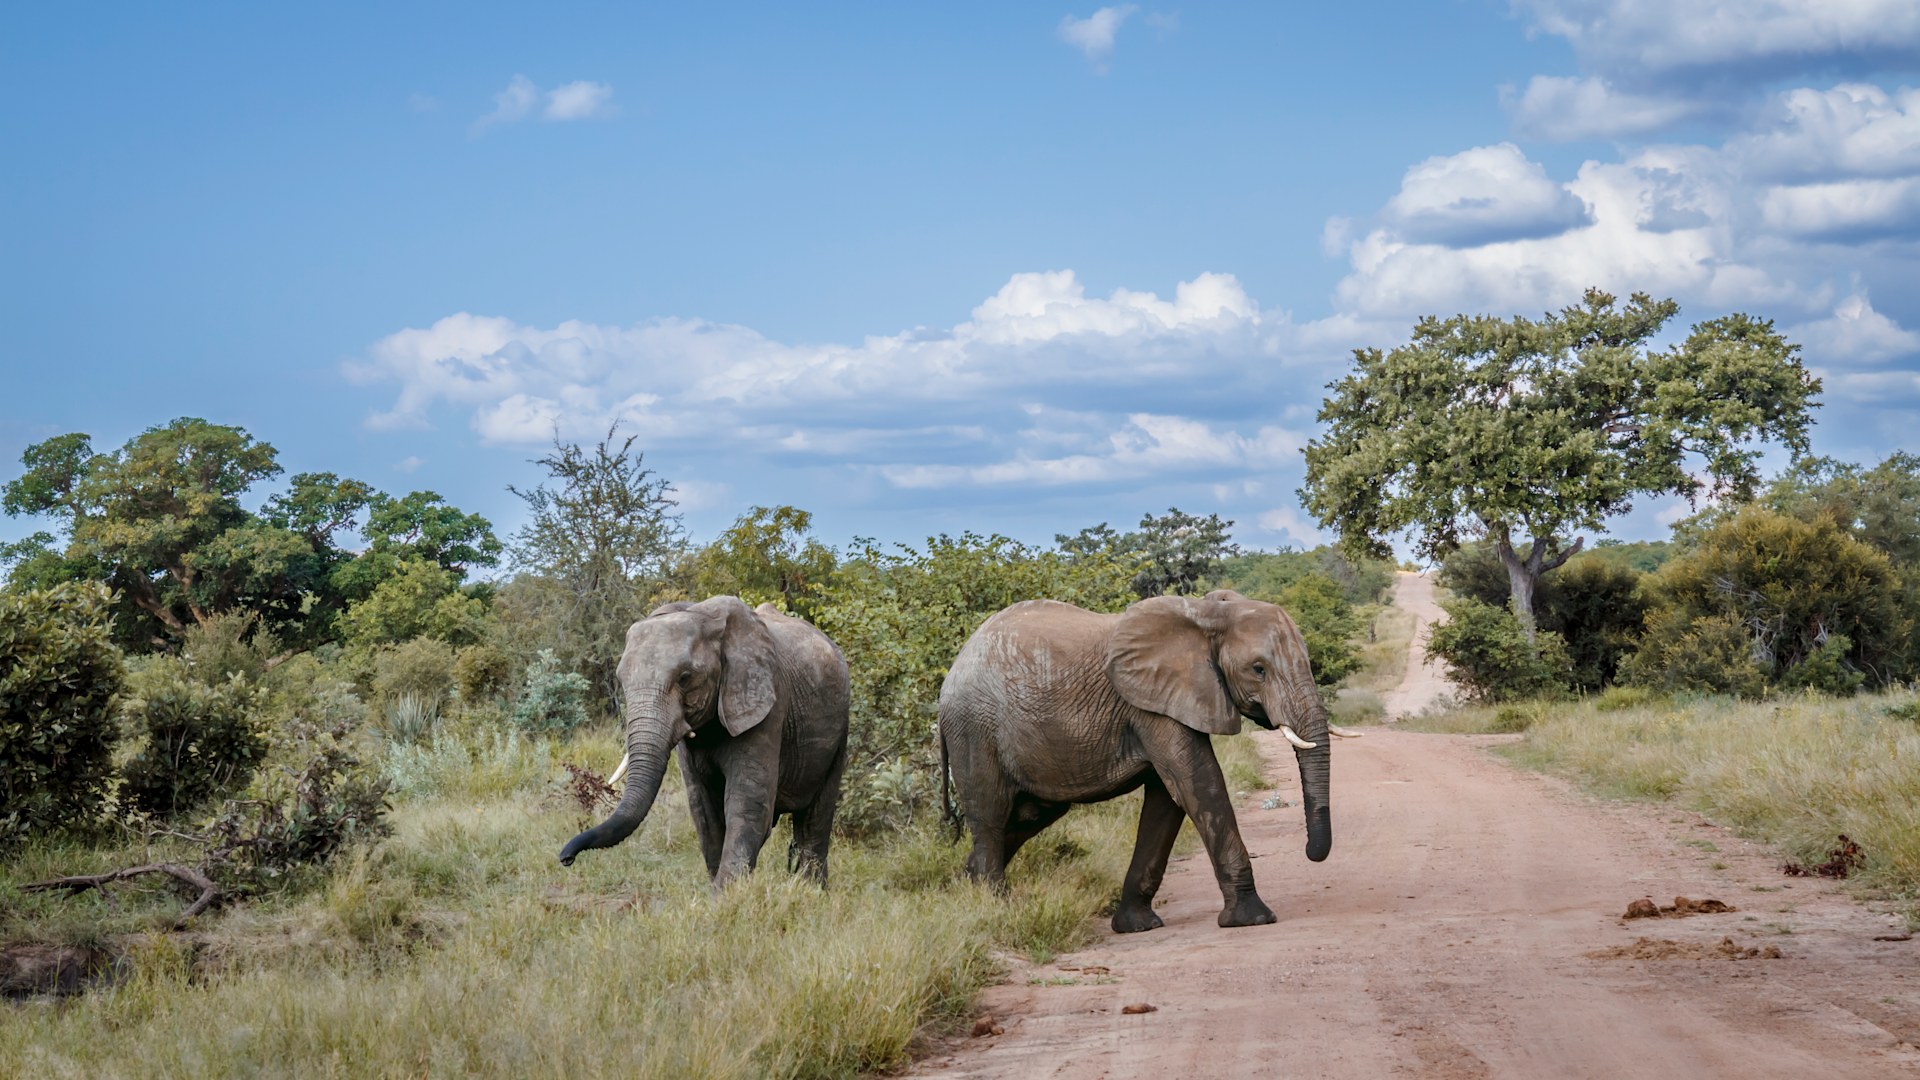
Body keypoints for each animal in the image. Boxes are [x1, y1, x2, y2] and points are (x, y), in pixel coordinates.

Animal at [558, 596, 851, 887]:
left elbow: (749, 804)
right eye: (621, 680)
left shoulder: (765, 703)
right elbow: (703, 809)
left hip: (841, 726)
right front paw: (718, 891)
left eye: (685, 678)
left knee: (815, 819)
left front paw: (725, 895)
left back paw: (812, 891)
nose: (565, 858)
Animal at [938, 589, 1355, 933]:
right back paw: (995, 910)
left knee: (1029, 815)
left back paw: (963, 888)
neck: (1208, 614)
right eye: (1258, 669)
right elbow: (1197, 782)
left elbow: (1167, 800)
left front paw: (1136, 926)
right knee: (991, 818)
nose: (1311, 853)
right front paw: (1253, 919)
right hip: (974, 731)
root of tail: (950, 677)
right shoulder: (1151, 704)